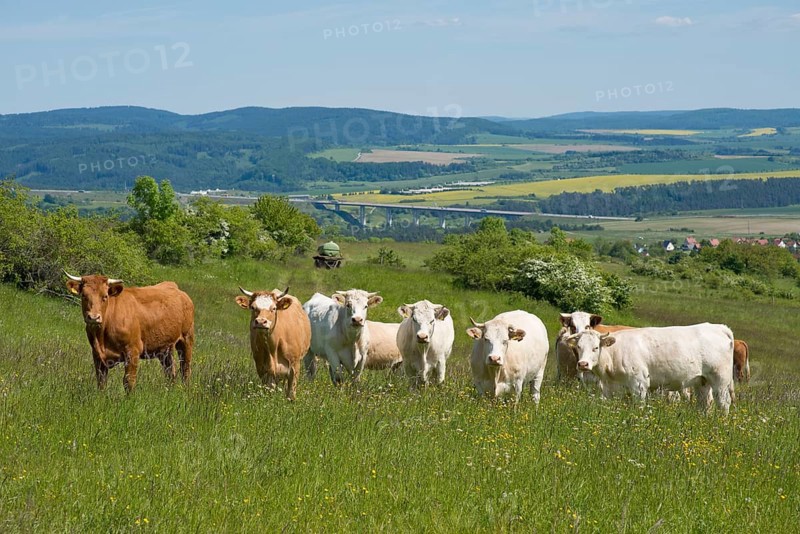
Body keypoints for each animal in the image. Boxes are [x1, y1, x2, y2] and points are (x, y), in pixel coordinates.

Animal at [65, 272, 194, 392]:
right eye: (84, 295)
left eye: (105, 296)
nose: (93, 317)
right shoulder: (97, 354)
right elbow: (101, 381)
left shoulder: (133, 351)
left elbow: (128, 381)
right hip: (165, 347)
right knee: (170, 371)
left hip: (186, 339)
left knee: (185, 369)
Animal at [567, 323, 735, 414]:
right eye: (579, 346)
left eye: (595, 347)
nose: (583, 364)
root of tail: (718, 327)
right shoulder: (609, 388)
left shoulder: (639, 384)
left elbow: (639, 407)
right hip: (702, 381)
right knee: (706, 403)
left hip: (721, 381)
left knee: (724, 403)